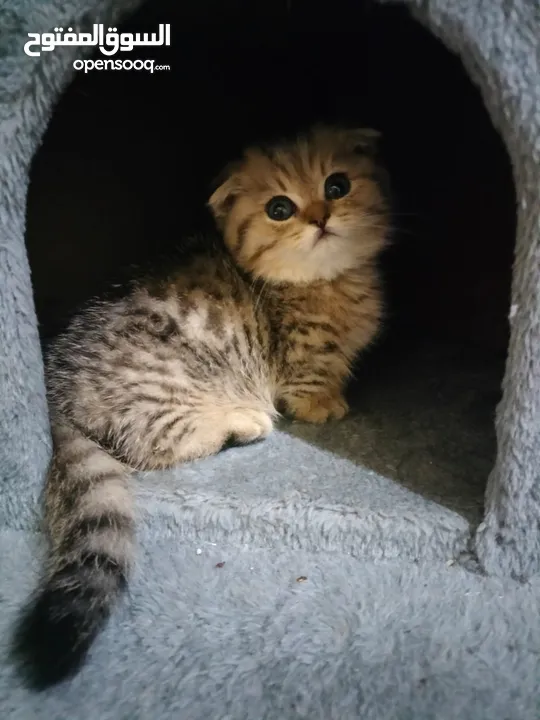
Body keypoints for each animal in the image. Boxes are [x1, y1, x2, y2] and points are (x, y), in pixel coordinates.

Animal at [14, 124, 390, 688]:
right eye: (280, 208)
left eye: (337, 185)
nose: (321, 218)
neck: (324, 282)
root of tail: (56, 383)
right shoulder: (299, 361)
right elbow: (310, 385)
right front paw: (326, 403)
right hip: (170, 388)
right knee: (153, 445)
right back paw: (241, 423)